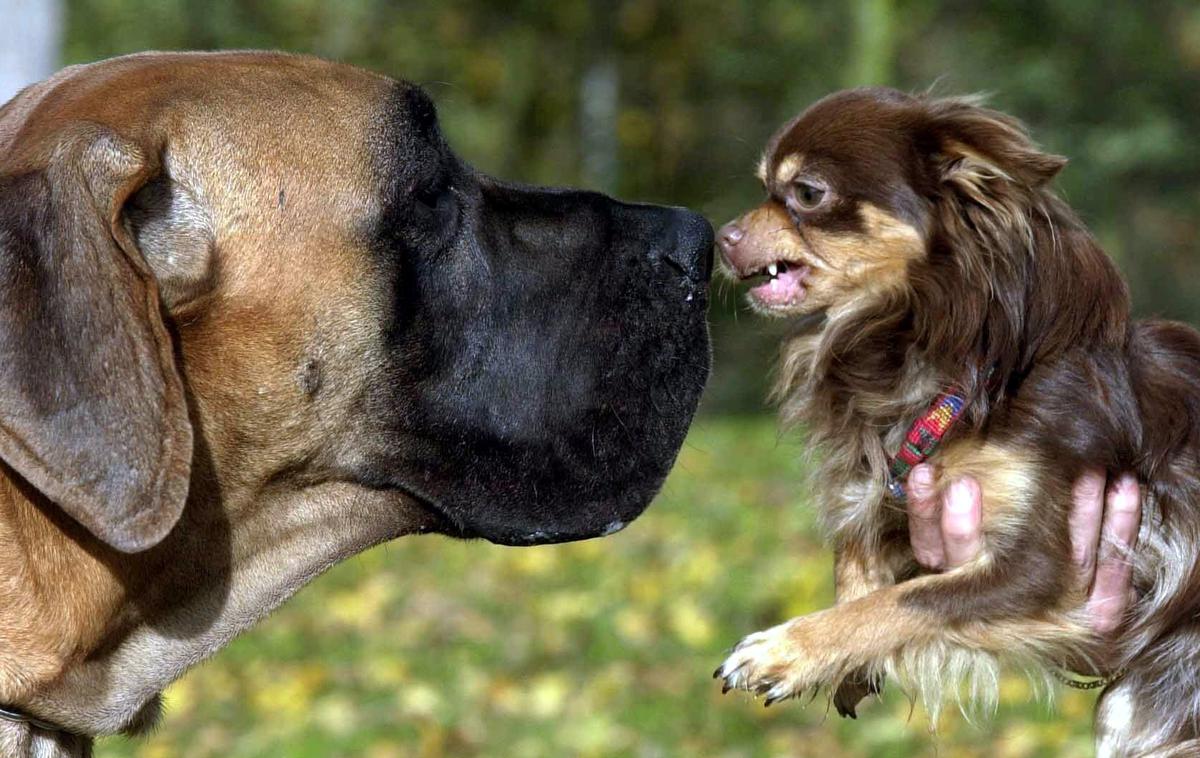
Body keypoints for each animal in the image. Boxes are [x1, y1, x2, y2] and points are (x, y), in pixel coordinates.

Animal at [710, 87, 1200, 753]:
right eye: (763, 187)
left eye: (807, 193)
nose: (721, 236)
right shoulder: (890, 482)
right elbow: (857, 548)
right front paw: (845, 660)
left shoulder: (1044, 569)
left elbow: (907, 600)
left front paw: (789, 648)